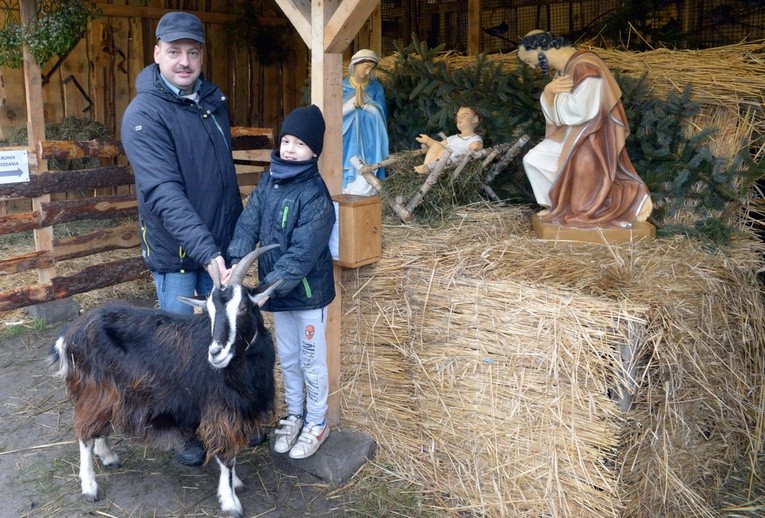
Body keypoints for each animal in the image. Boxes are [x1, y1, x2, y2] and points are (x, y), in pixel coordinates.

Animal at [52, 246, 282, 516]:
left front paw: (235, 483)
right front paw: (230, 501)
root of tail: (70, 335)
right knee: (84, 434)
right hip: (94, 388)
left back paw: (107, 455)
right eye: (210, 312)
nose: (216, 353)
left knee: (98, 426)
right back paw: (89, 486)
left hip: (109, 392)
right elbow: (227, 456)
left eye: (244, 308)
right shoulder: (220, 409)